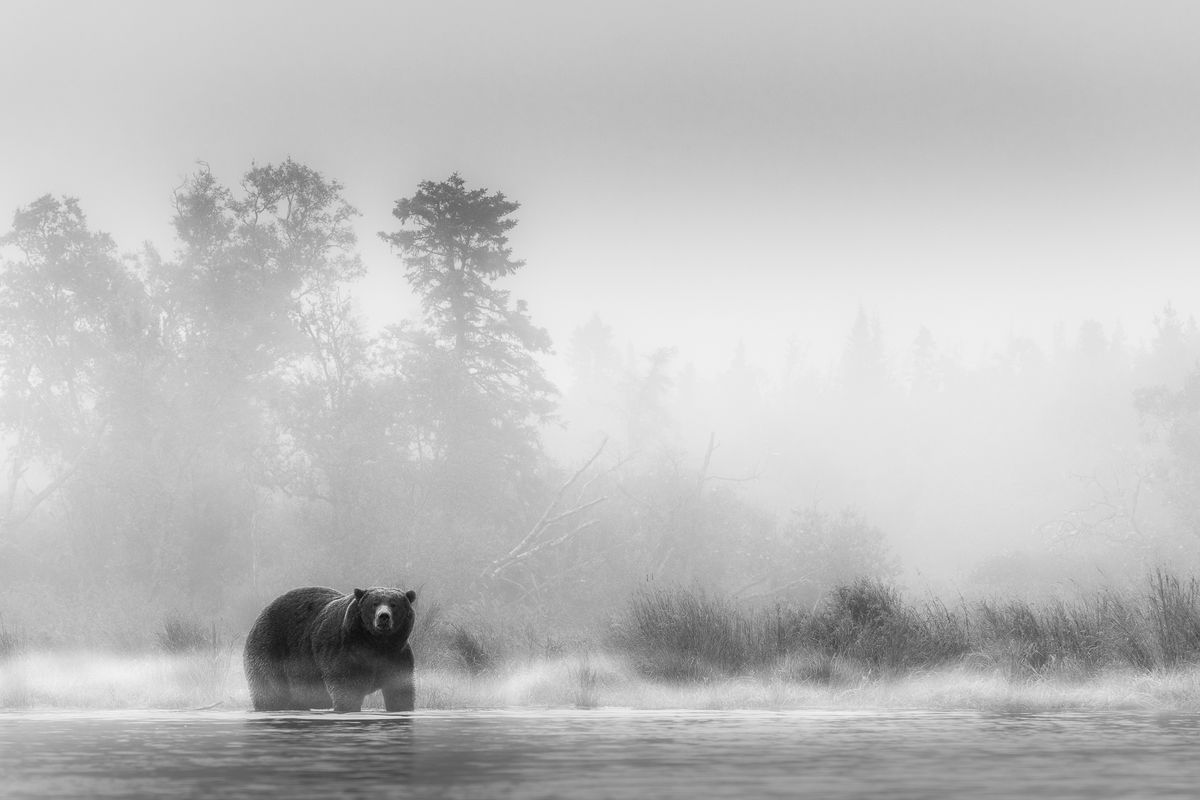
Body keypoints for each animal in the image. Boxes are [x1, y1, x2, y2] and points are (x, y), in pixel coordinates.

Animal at [243, 582, 417, 714]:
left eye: (394, 604)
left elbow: (400, 691)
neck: (376, 644)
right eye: (374, 604)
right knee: (269, 693)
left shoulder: (397, 655)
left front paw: (402, 708)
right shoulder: (345, 651)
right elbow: (346, 687)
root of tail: (259, 617)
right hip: (269, 652)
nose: (383, 617)